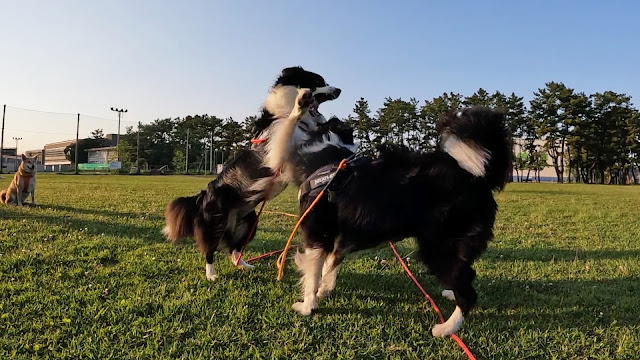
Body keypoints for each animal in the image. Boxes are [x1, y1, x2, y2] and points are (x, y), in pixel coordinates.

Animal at [290, 107, 510, 338]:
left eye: (314, 112)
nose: (305, 106)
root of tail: (478, 178)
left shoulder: (316, 234)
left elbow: (312, 275)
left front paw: (307, 307)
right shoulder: (338, 237)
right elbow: (331, 264)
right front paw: (326, 288)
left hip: (437, 247)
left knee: (468, 291)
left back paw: (446, 328)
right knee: (466, 274)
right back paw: (451, 294)